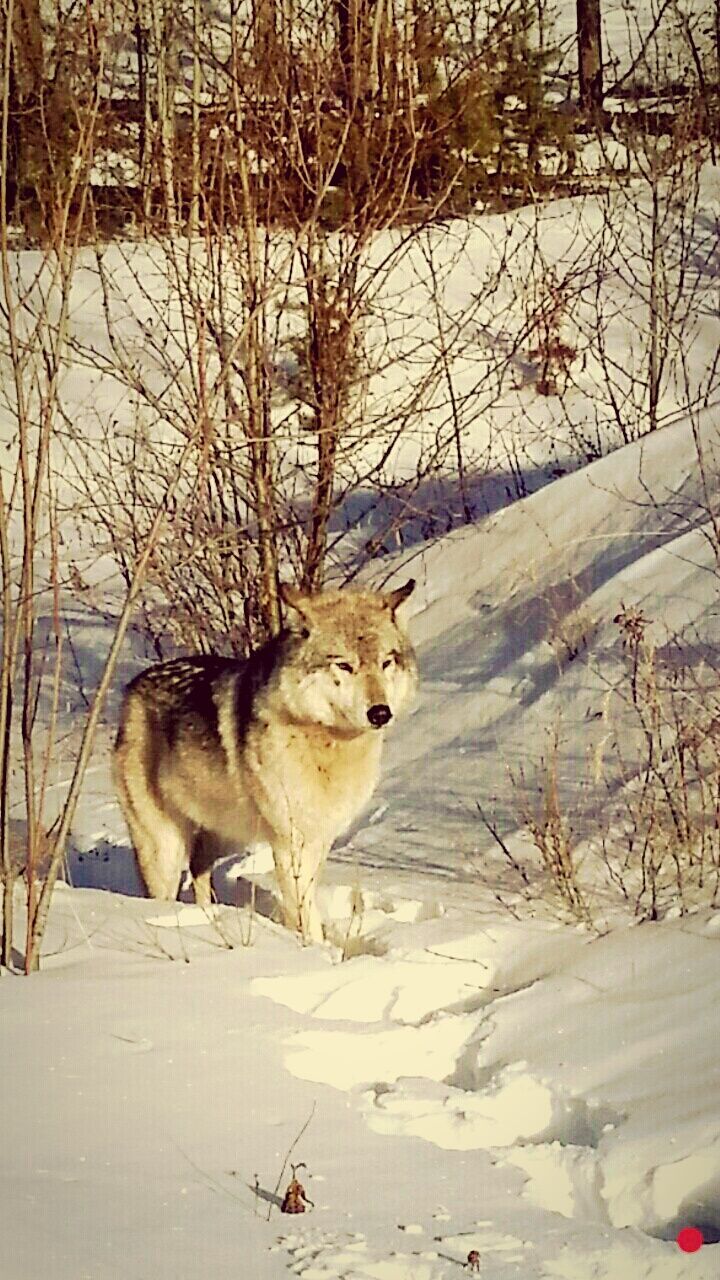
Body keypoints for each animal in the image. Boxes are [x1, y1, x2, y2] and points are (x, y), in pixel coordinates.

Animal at [111, 581, 415, 942]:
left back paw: (209, 916)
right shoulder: (290, 844)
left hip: (227, 834)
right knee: (164, 890)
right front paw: (313, 950)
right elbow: (304, 915)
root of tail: (131, 688)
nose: (380, 713)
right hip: (165, 850)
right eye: (344, 665)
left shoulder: (320, 839)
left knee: (199, 868)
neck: (326, 742)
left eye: (386, 663)